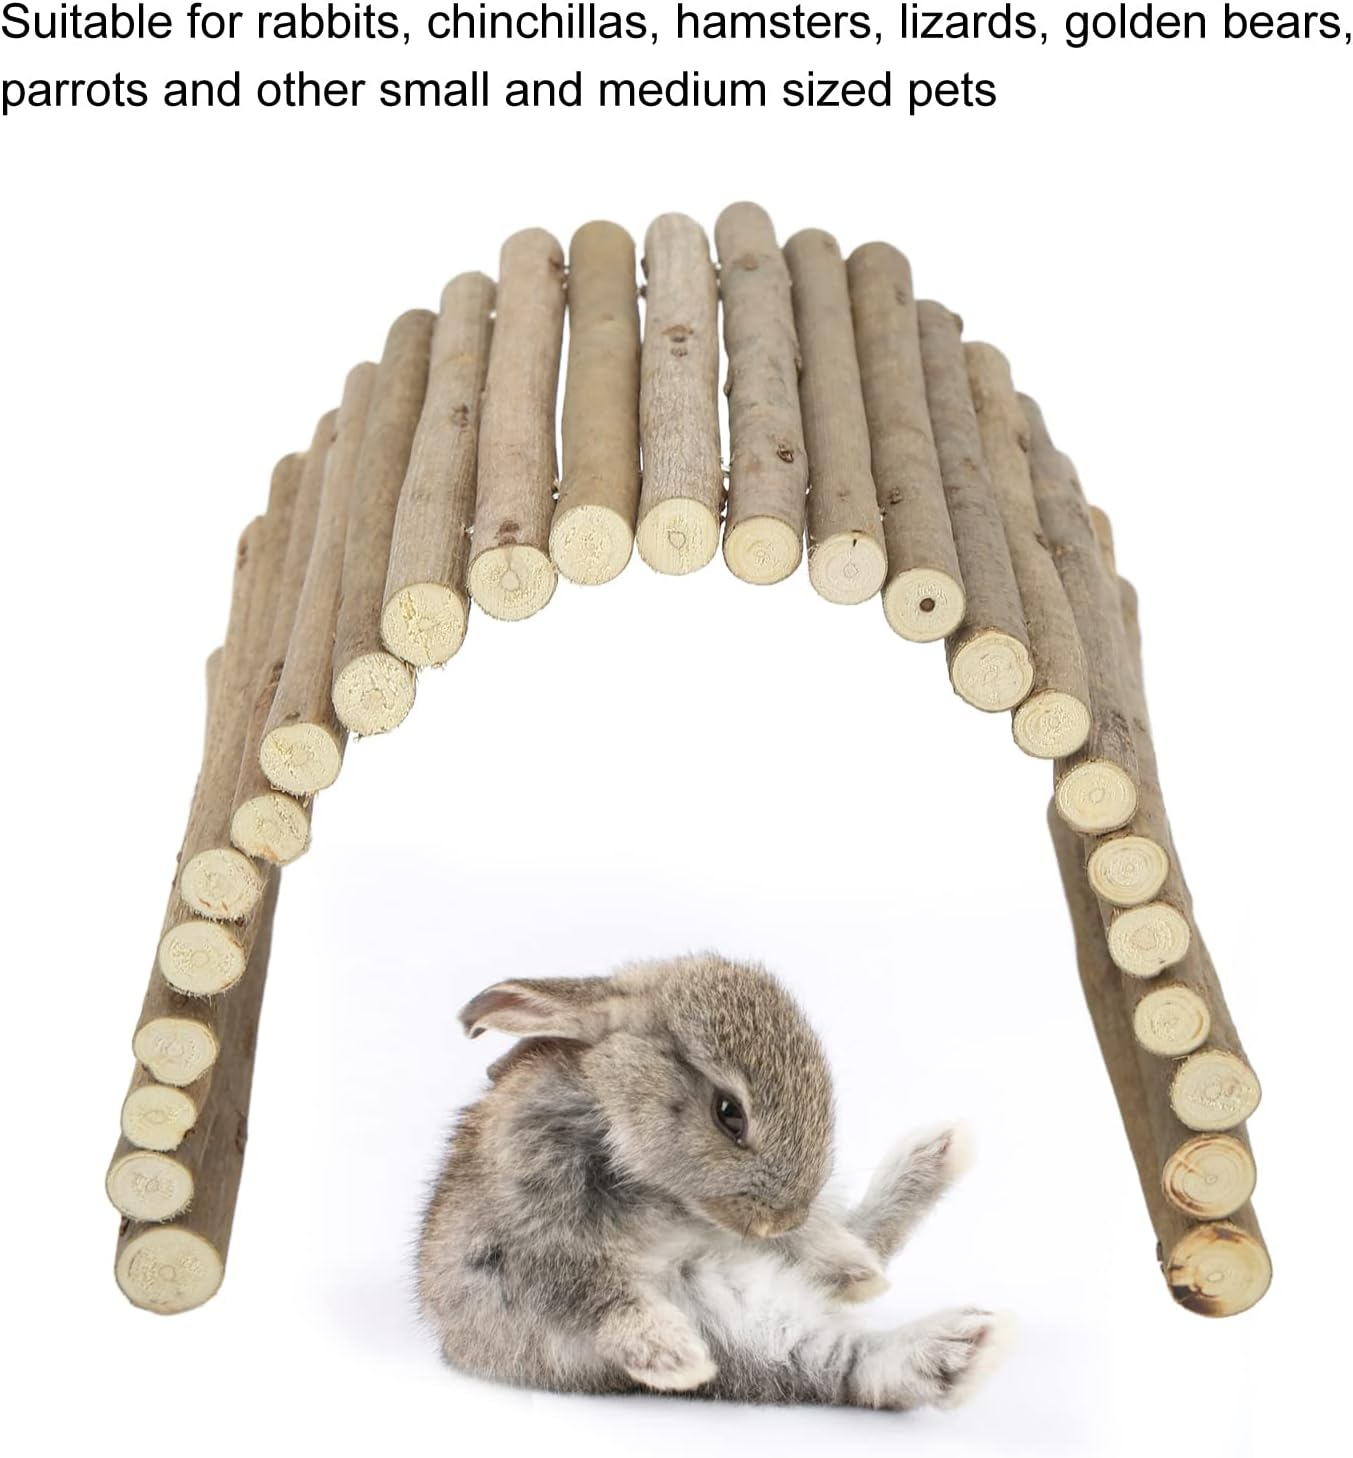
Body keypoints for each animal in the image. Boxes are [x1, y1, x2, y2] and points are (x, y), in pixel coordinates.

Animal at [417, 955, 1010, 1409]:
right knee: (846, 1368)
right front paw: (673, 1357)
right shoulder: (530, 1234)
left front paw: (851, 1268)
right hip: (733, 1316)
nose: (782, 1219)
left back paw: (928, 1170)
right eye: (729, 1114)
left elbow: (819, 1239)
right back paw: (963, 1345)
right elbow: (588, 1290)